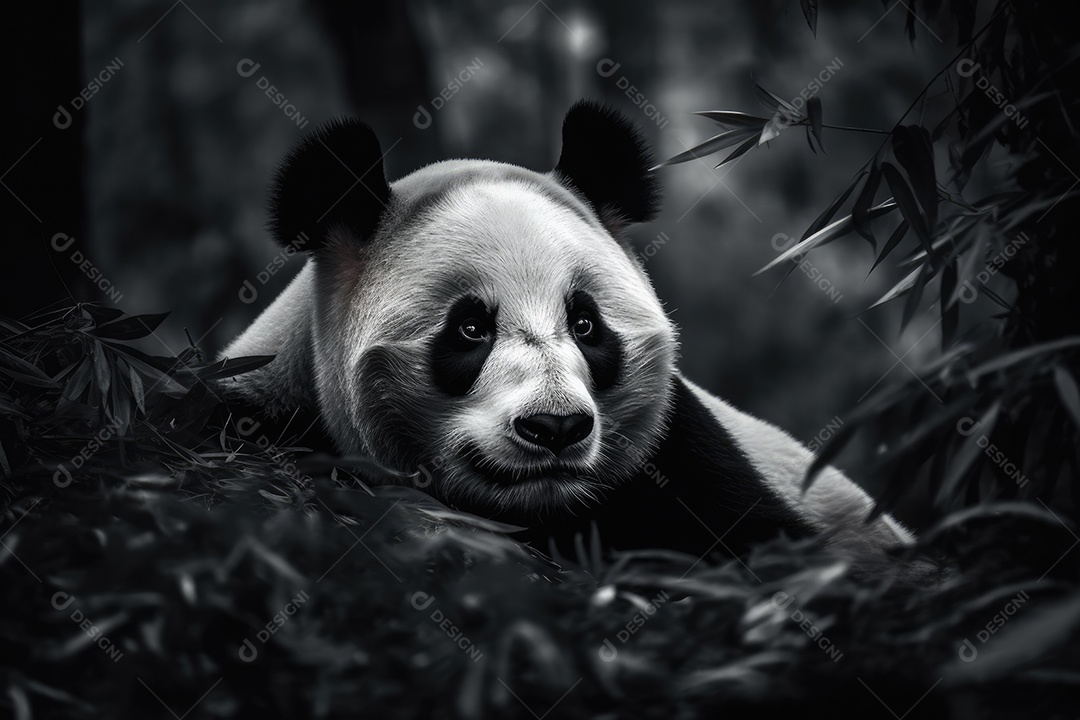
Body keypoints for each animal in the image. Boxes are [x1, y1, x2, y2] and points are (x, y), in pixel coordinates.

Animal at [219, 100, 918, 575]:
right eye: (470, 329)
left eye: (584, 323)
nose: (555, 427)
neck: (541, 512)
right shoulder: (261, 411)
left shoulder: (678, 454)